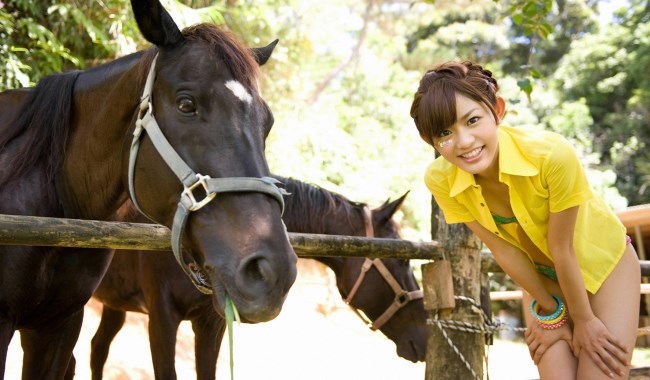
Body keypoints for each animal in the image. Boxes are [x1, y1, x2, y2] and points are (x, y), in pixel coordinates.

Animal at [91, 177, 426, 378]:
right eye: (401, 261)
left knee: (97, 350)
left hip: (115, 305)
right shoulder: (162, 320)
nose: (424, 339)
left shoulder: (211, 324)